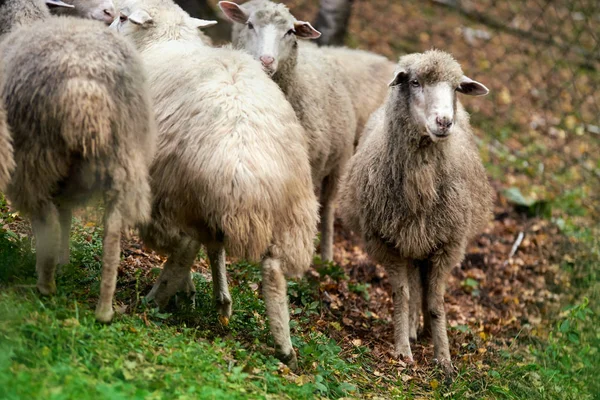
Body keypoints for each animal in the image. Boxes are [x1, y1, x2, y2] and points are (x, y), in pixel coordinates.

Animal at [0, 0, 157, 322]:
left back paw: (45, 284)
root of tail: (85, 89)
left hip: (36, 151)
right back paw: (104, 309)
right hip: (125, 154)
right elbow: (67, 216)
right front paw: (64, 260)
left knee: (44, 217)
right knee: (112, 229)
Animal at [111, 0, 318, 368]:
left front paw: (197, 292)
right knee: (271, 270)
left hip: (174, 186)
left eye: (122, 17)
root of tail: (244, 166)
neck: (164, 42)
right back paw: (284, 346)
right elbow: (216, 248)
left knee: (184, 245)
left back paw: (155, 299)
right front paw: (221, 299)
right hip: (291, 211)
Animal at [220, 0, 356, 262]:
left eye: (290, 31)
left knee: (328, 207)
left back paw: (326, 258)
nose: (266, 60)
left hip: (339, 162)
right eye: (249, 24)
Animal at [340, 50, 494, 376]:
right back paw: (411, 329)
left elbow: (436, 303)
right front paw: (402, 350)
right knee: (412, 284)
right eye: (414, 82)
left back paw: (422, 330)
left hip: (424, 240)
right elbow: (402, 295)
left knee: (422, 287)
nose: (444, 121)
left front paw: (444, 359)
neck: (421, 188)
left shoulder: (447, 245)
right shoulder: (388, 242)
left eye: (457, 88)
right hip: (409, 240)